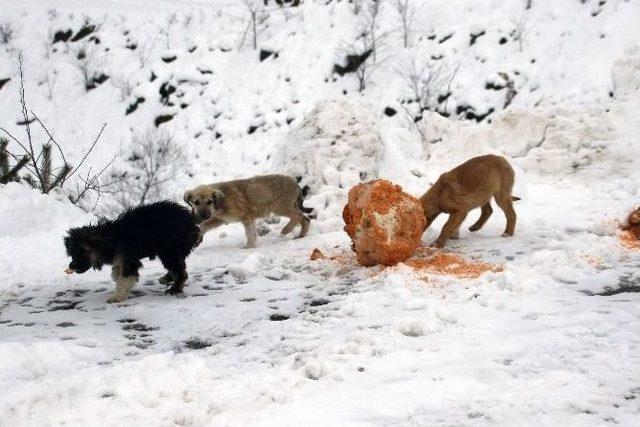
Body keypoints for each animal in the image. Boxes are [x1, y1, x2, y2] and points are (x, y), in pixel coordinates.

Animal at [64, 202, 200, 302]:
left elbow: (124, 279)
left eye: (83, 251)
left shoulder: (129, 261)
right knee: (178, 269)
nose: (72, 266)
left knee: (181, 273)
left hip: (170, 251)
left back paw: (175, 289)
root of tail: (191, 223)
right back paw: (168, 279)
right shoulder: (122, 259)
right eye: (72, 252)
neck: (111, 239)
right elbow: (117, 273)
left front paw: (117, 296)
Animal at [184, 173, 314, 247]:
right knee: (305, 218)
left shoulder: (247, 217)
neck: (221, 202)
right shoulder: (220, 219)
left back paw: (286, 230)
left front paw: (248, 246)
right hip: (288, 206)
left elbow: (249, 233)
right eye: (196, 202)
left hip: (281, 207)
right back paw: (301, 235)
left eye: (209, 201)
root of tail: (295, 183)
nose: (203, 215)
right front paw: (197, 236)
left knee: (297, 215)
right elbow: (204, 226)